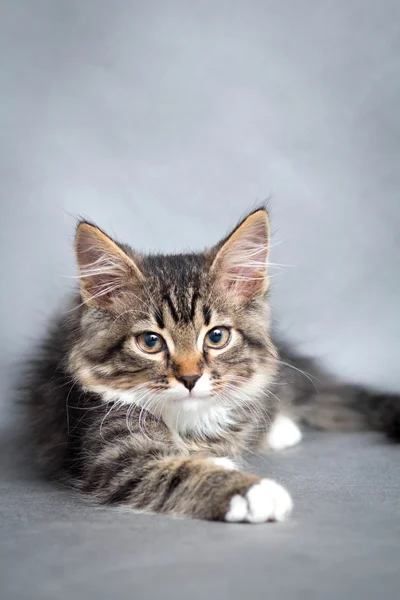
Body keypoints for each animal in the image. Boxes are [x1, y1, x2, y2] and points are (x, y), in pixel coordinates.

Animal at [25, 209, 400, 524]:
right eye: (150, 342)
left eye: (216, 336)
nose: (190, 377)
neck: (188, 422)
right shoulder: (113, 454)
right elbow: (178, 471)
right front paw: (249, 490)